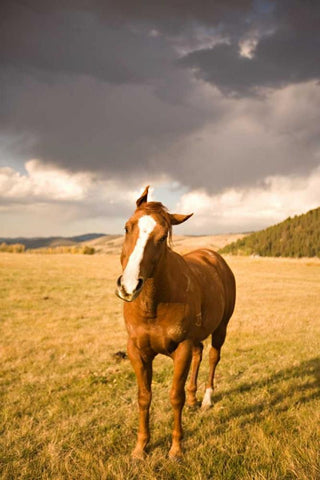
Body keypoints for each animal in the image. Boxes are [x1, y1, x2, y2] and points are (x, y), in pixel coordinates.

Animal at [115, 186, 235, 460]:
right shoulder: (136, 351)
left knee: (212, 357)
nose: (129, 286)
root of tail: (214, 257)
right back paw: (193, 399)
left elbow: (174, 397)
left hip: (221, 329)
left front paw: (176, 449)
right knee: (199, 354)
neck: (154, 305)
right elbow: (144, 397)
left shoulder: (181, 349)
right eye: (127, 227)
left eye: (162, 238)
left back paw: (206, 400)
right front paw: (140, 448)